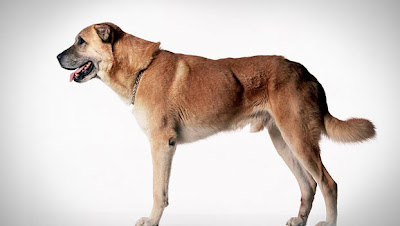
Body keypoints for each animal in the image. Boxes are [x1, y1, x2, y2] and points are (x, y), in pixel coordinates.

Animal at [57, 21, 376, 226]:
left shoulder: (162, 145)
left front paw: (152, 221)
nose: (57, 56)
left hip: (298, 138)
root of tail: (304, 70)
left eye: (80, 41)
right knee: (309, 185)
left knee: (328, 183)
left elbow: (159, 192)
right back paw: (300, 220)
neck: (140, 69)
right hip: (283, 141)